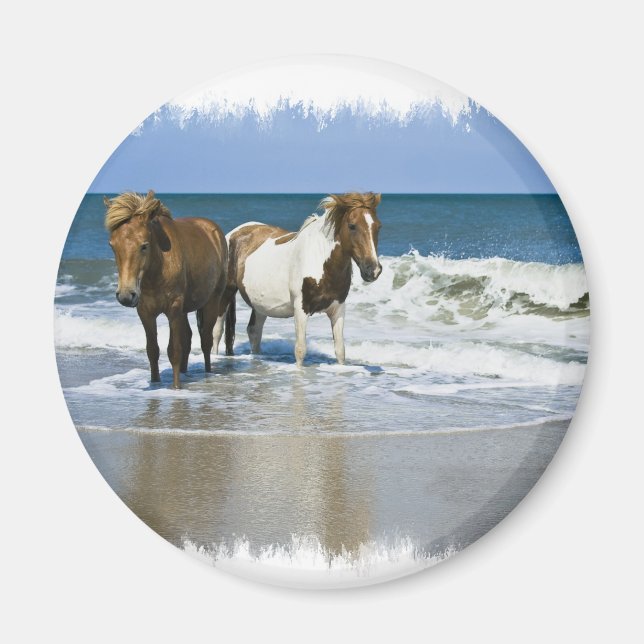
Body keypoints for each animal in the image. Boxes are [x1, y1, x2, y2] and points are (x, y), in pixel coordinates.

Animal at [104, 190, 228, 388]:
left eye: (144, 245)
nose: (125, 296)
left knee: (205, 340)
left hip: (211, 302)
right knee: (188, 337)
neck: (158, 268)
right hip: (184, 310)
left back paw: (207, 373)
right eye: (112, 245)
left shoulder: (173, 309)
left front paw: (176, 387)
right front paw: (155, 382)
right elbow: (152, 350)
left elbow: (174, 350)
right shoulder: (145, 312)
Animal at [217, 192, 382, 366]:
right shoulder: (301, 309)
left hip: (260, 304)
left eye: (378, 226)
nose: (373, 269)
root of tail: (233, 234)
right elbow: (300, 350)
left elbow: (340, 351)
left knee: (254, 331)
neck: (320, 261)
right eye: (352, 226)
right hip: (225, 294)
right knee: (217, 332)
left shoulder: (338, 309)